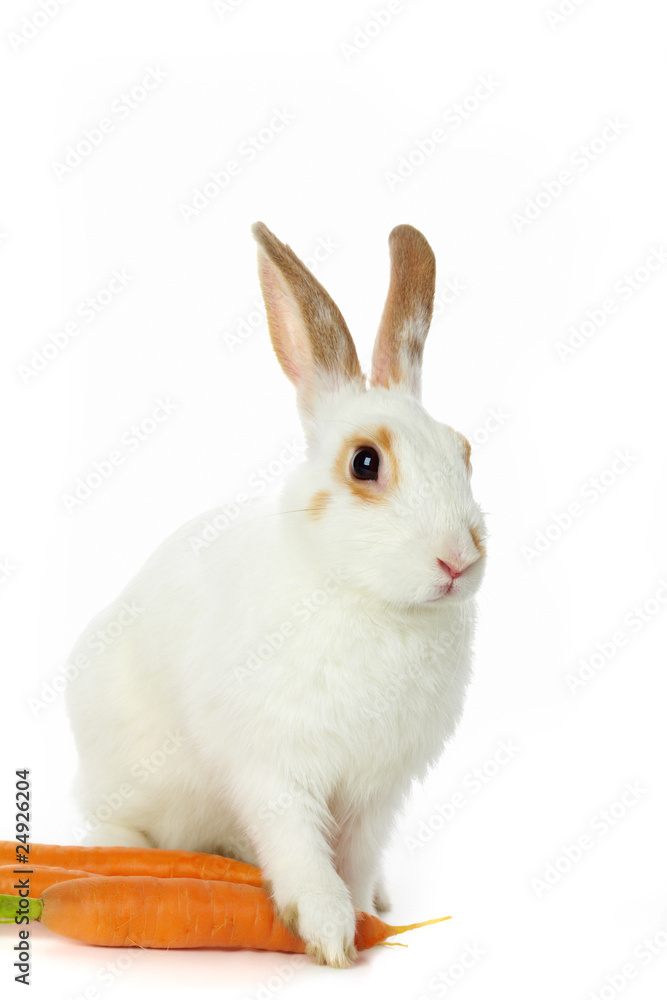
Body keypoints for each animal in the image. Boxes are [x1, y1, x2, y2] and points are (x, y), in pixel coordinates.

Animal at [64, 221, 487, 968]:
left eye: (463, 451)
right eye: (365, 463)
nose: (459, 560)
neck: (366, 597)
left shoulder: (375, 794)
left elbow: (355, 858)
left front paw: (362, 915)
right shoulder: (275, 771)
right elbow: (301, 852)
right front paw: (330, 933)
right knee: (114, 819)